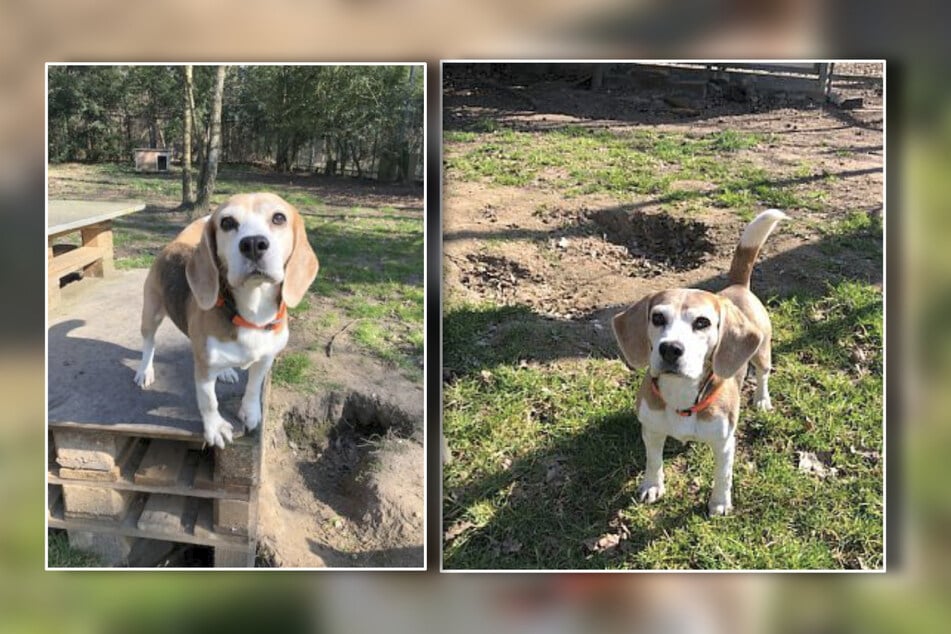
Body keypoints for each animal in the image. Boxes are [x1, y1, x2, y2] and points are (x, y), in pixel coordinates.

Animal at [134, 195, 320, 446]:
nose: (253, 243)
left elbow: (253, 388)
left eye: (279, 218)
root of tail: (175, 244)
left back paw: (226, 371)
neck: (252, 314)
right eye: (227, 222)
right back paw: (145, 371)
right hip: (151, 314)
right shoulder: (204, 368)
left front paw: (250, 412)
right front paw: (215, 428)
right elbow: (209, 401)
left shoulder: (266, 359)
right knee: (149, 343)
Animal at [612, 207, 784, 512]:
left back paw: (762, 399)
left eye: (702, 322)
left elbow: (722, 476)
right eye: (658, 318)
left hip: (763, 351)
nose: (670, 349)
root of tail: (737, 286)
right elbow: (653, 461)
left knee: (763, 373)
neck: (681, 393)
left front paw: (719, 503)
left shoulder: (724, 444)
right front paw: (652, 485)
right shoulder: (652, 431)